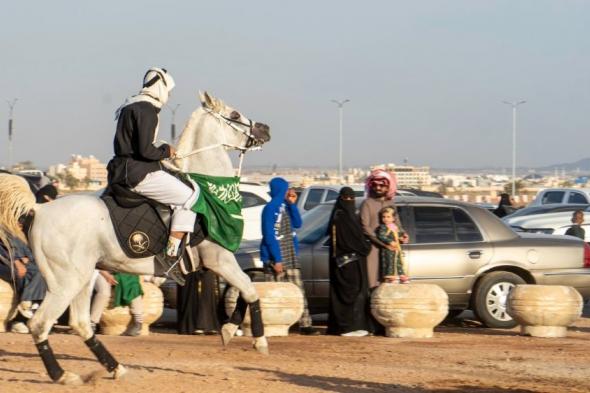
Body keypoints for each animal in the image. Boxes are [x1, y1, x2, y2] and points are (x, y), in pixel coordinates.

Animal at [0, 91, 272, 382]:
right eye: (234, 115)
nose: (265, 129)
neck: (211, 191)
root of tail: (38, 209)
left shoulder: (223, 261)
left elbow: (245, 289)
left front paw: (230, 329)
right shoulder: (219, 259)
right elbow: (249, 289)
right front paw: (256, 339)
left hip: (81, 279)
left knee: (81, 323)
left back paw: (115, 368)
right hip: (65, 283)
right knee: (41, 324)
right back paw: (62, 375)